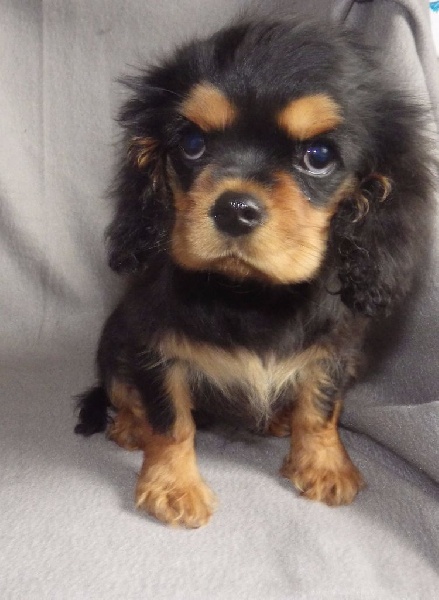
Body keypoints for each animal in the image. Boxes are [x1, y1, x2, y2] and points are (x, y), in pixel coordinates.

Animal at [75, 18, 434, 528]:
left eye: (318, 155)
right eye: (192, 145)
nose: (233, 209)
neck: (252, 294)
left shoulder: (335, 349)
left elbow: (320, 408)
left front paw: (323, 464)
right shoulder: (153, 345)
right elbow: (170, 419)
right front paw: (172, 486)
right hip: (112, 342)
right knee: (122, 391)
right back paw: (129, 425)